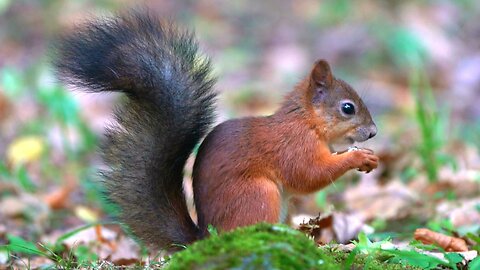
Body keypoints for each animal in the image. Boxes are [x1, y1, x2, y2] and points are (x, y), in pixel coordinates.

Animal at [54, 10, 378, 251]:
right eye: (347, 108)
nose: (373, 132)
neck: (307, 122)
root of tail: (208, 237)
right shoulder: (294, 146)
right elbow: (308, 175)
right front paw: (358, 157)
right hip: (258, 195)